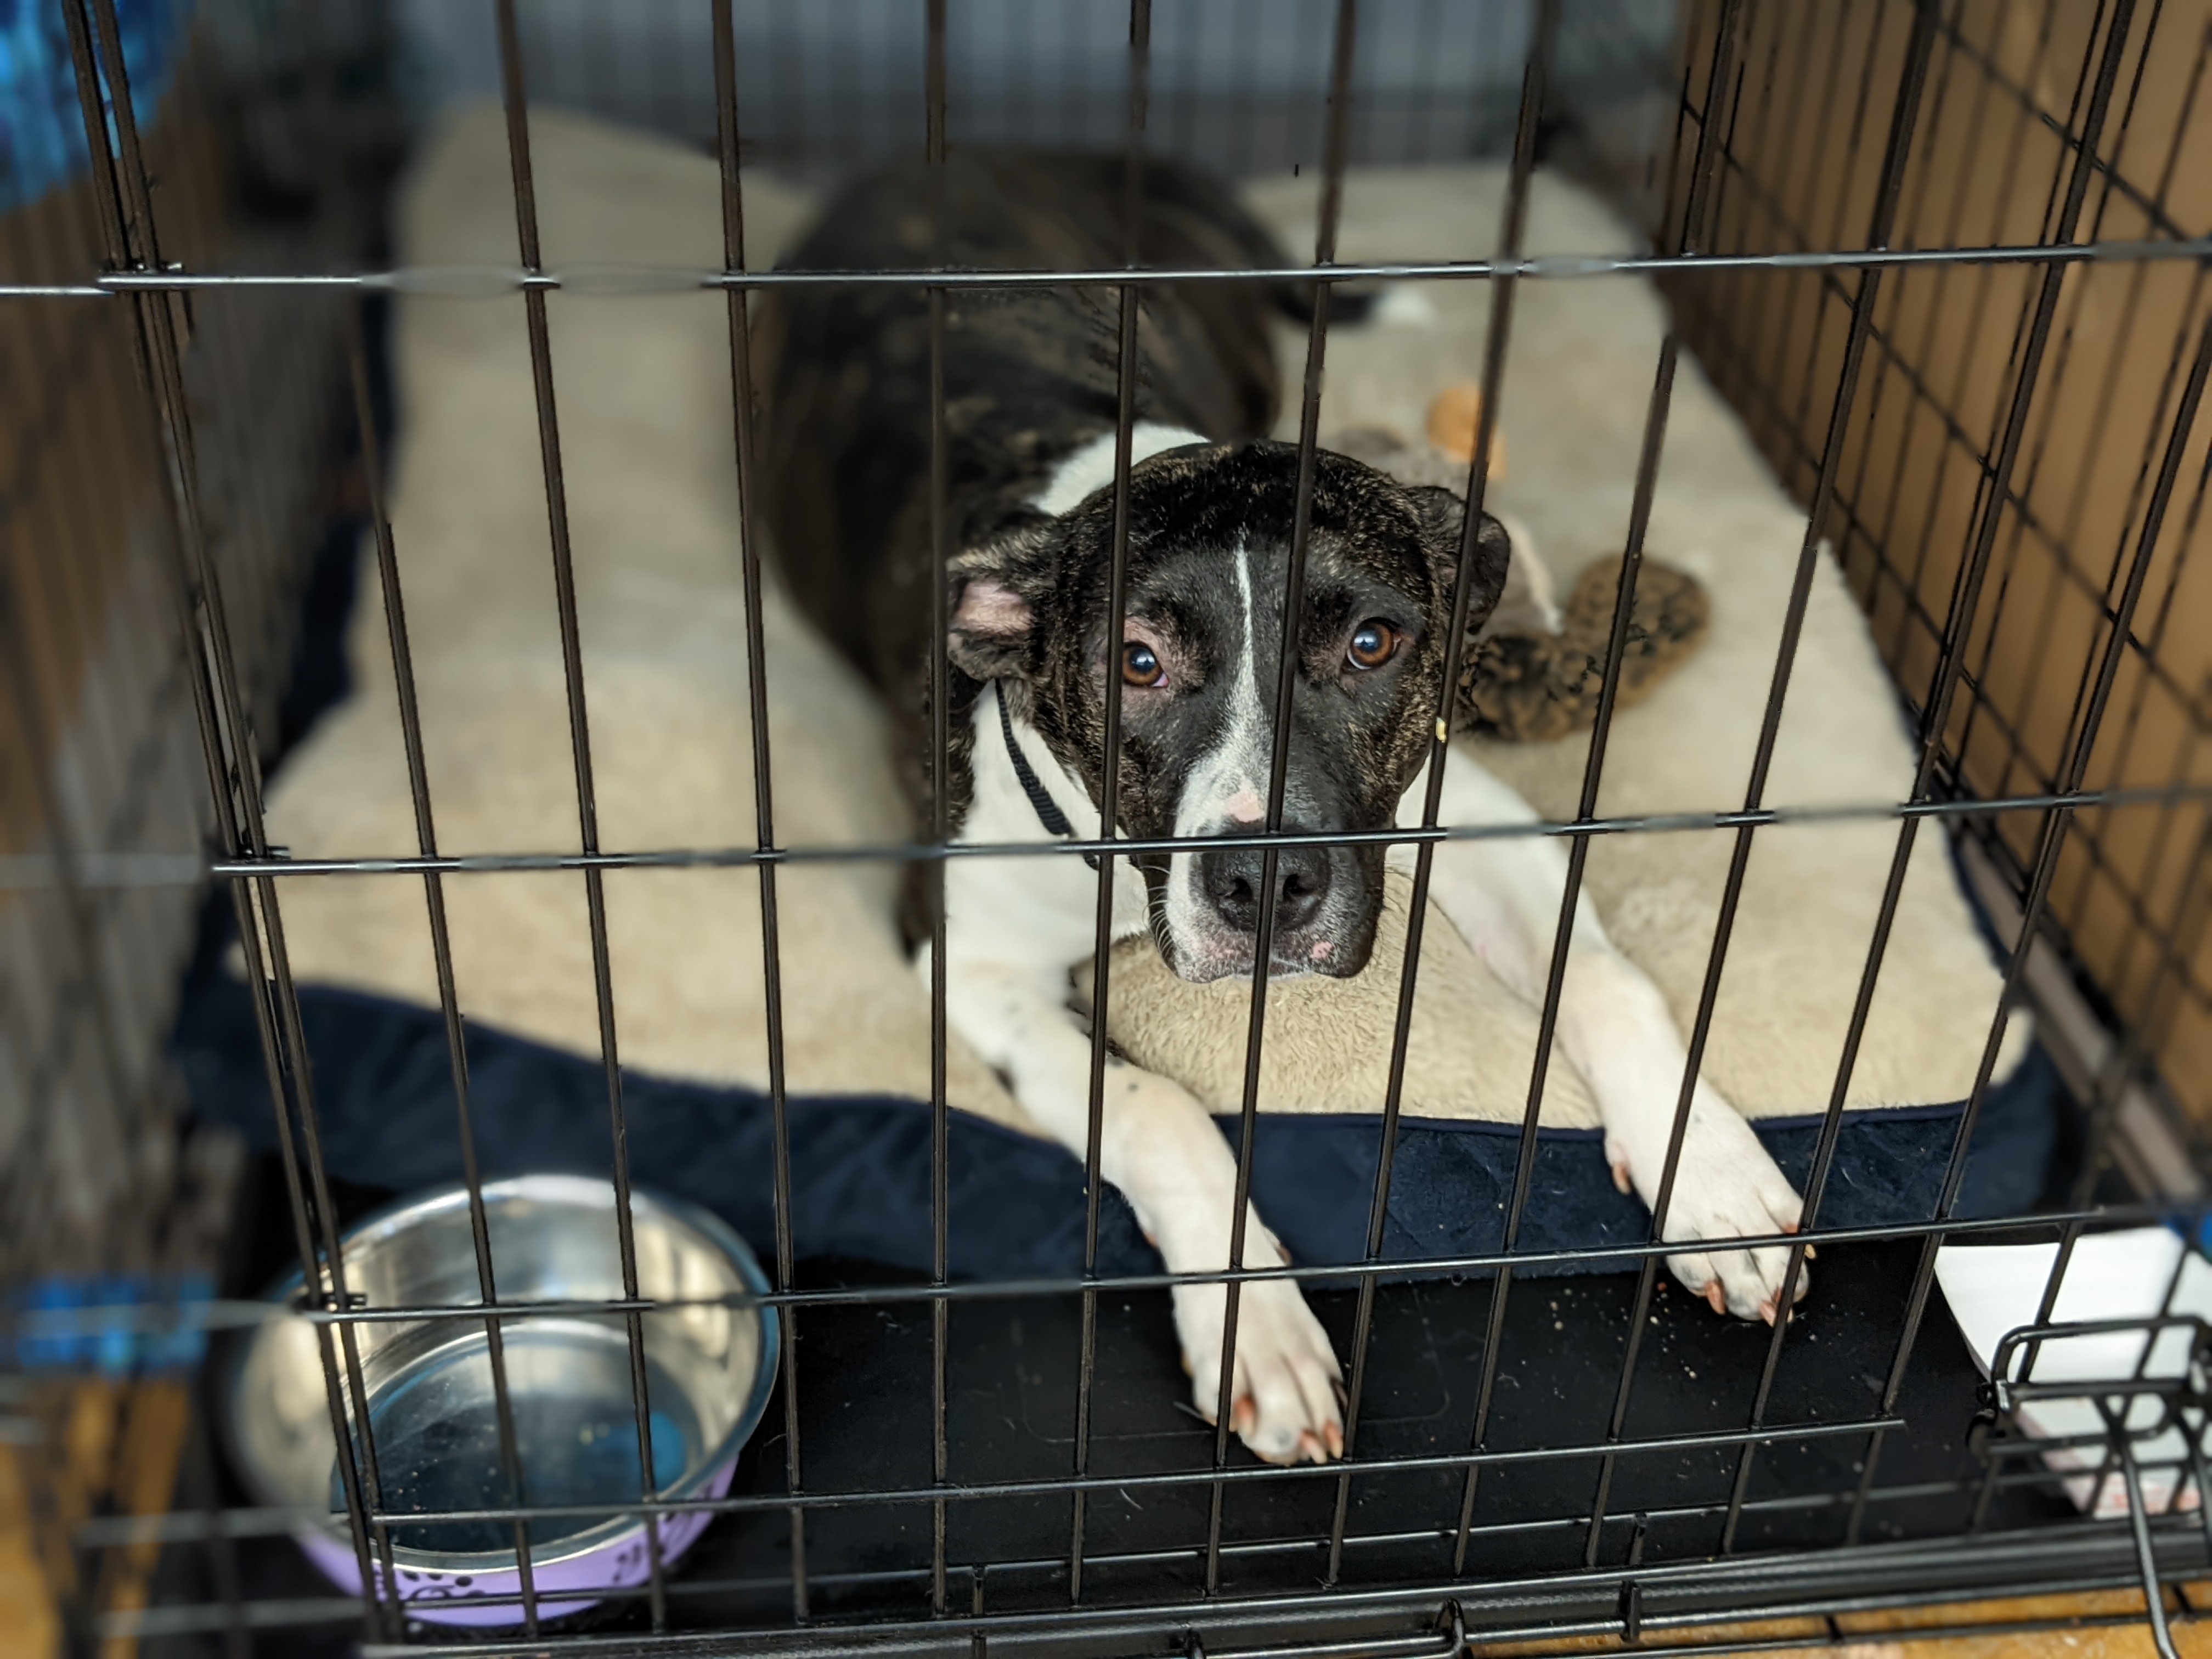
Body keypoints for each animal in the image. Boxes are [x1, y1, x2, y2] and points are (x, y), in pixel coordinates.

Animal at [761, 153, 1814, 1469]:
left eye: (1372, 642)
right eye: (1137, 662)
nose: (1266, 880)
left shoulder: (1468, 810)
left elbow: (1609, 981)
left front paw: (1709, 1169)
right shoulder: (971, 961)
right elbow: (1161, 1111)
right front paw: (1253, 1324)